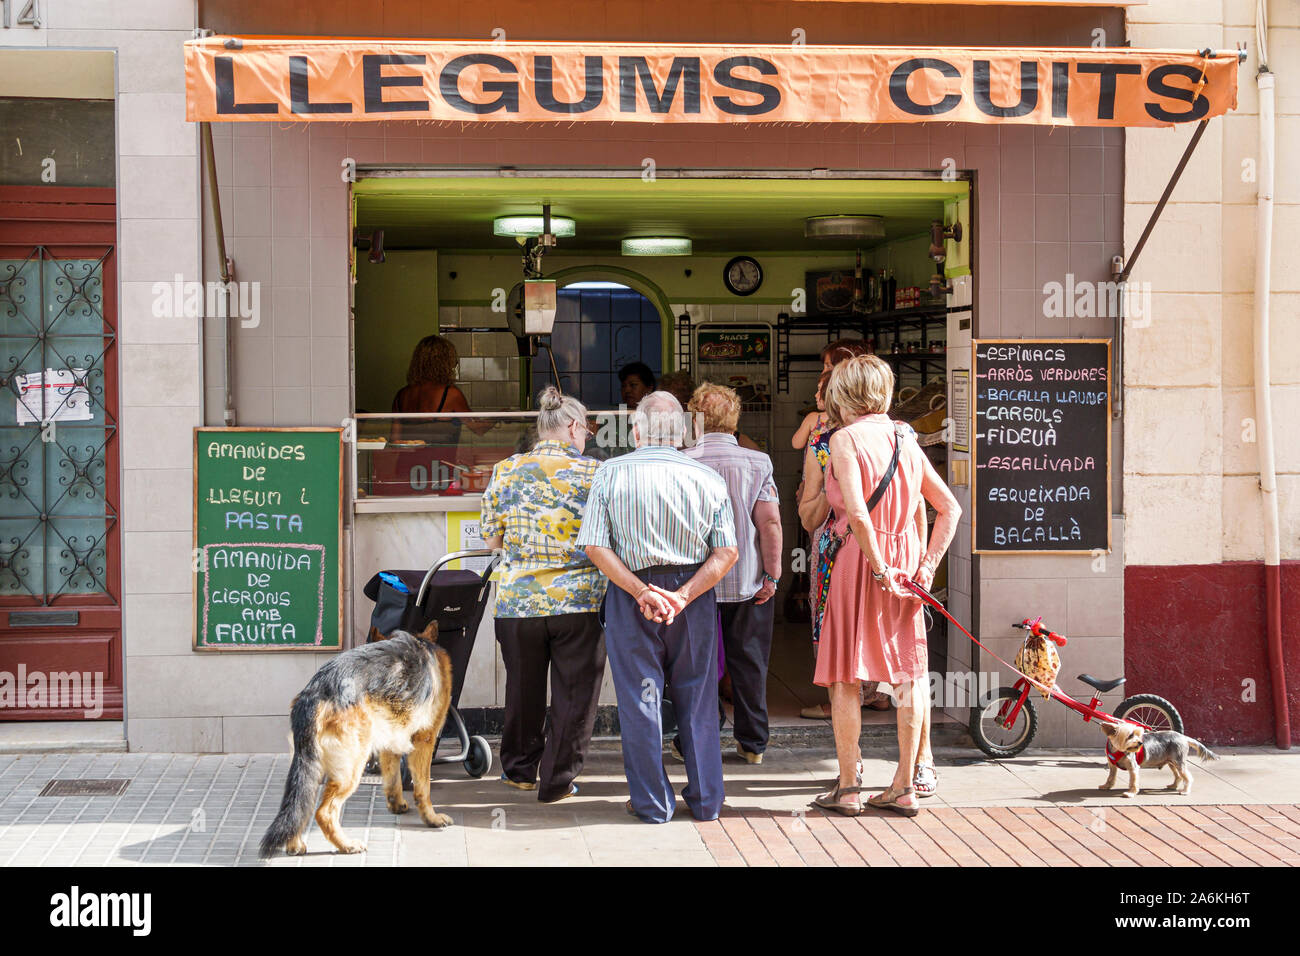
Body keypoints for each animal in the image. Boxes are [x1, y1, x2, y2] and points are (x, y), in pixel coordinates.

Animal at [256, 621, 454, 858]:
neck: (423, 643)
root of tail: (315, 691)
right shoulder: (425, 740)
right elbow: (423, 788)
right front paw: (432, 819)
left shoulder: (390, 742)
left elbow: (393, 779)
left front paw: (396, 804)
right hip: (352, 766)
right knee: (324, 812)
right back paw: (346, 845)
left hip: (309, 768)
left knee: (301, 805)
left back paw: (294, 845)